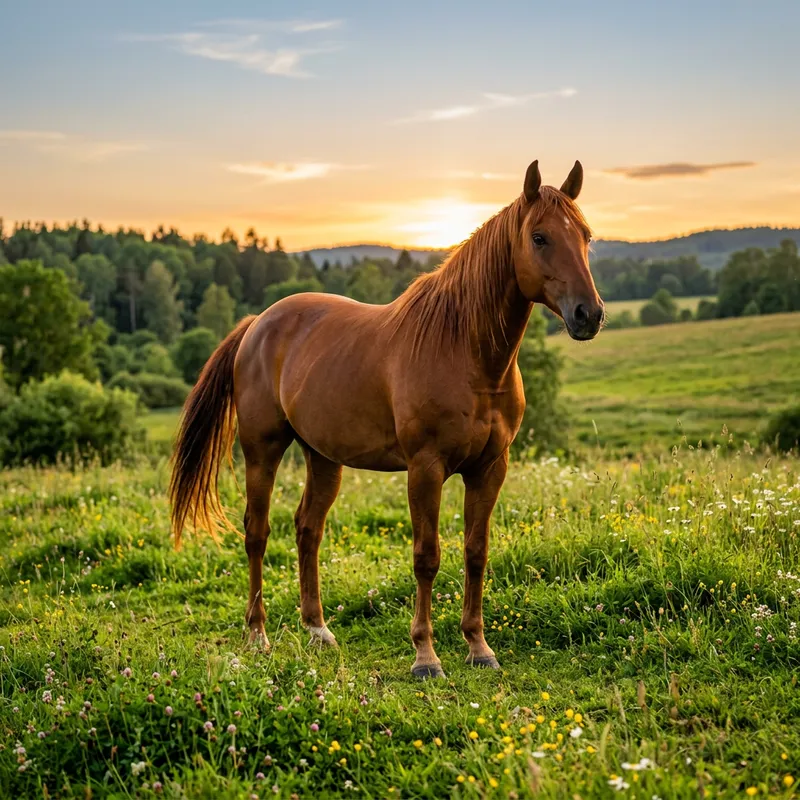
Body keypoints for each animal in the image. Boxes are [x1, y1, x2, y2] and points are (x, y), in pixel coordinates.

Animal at [170, 159, 604, 678]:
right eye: (539, 237)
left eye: (586, 235)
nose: (589, 315)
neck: (465, 351)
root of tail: (258, 324)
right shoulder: (425, 468)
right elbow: (427, 556)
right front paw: (426, 656)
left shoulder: (490, 469)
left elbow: (476, 553)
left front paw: (479, 648)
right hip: (263, 450)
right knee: (257, 533)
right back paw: (257, 635)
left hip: (323, 457)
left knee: (307, 528)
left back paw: (318, 630)